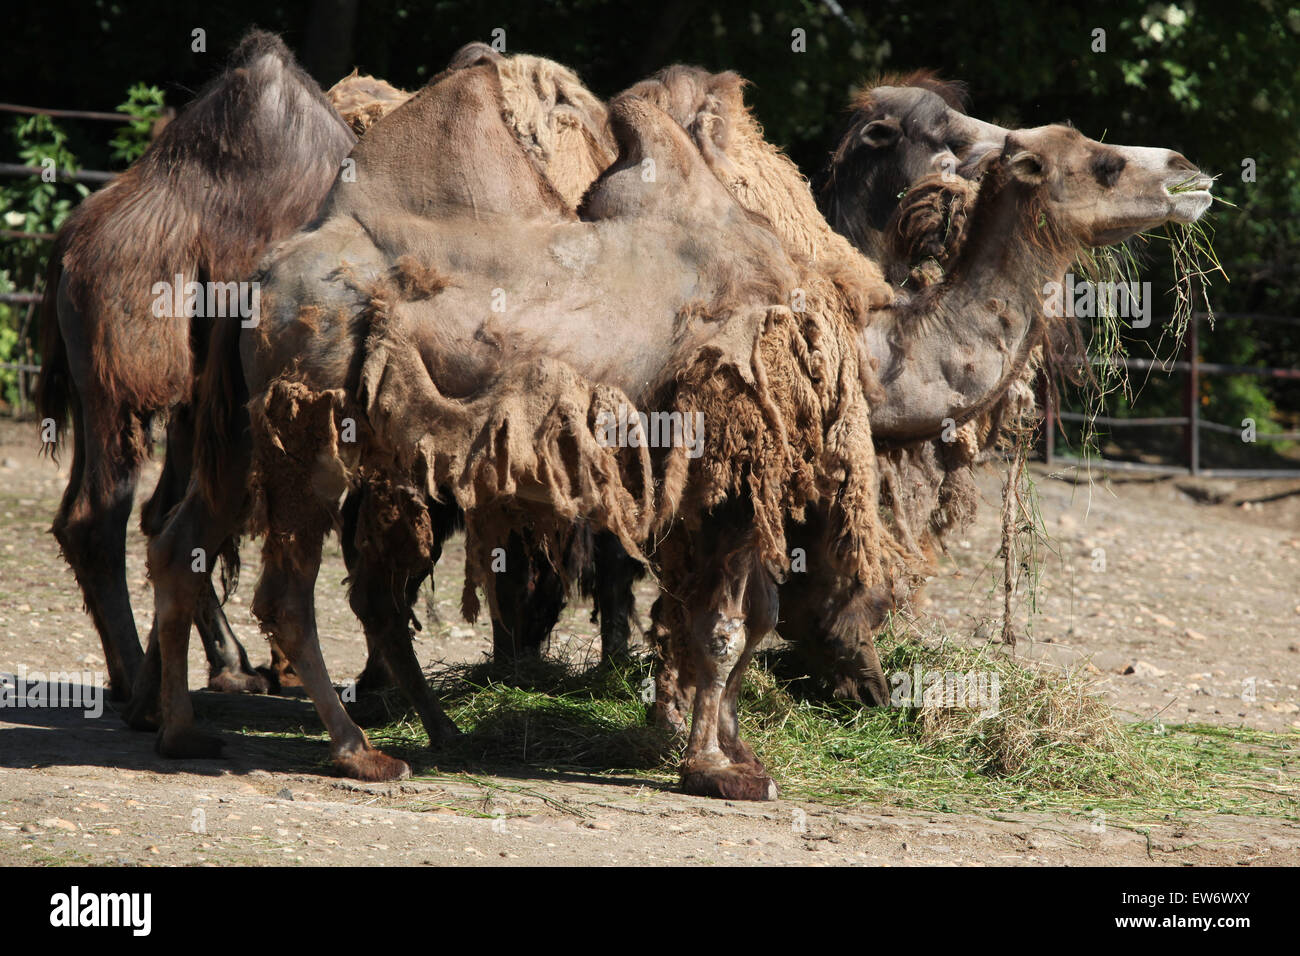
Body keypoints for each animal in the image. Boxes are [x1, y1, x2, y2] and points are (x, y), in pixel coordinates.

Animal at [35, 29, 356, 702]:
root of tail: (71, 239)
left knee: (154, 514)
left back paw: (198, 670)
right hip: (122, 370)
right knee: (102, 517)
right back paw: (144, 681)